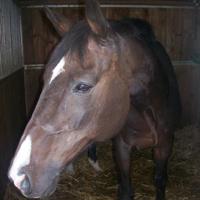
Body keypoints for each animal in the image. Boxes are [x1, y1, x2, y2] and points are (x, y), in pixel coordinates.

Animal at [7, 0, 180, 199]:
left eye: (83, 86)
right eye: (44, 79)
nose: (18, 177)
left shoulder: (165, 146)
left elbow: (160, 181)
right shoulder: (121, 146)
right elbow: (126, 188)